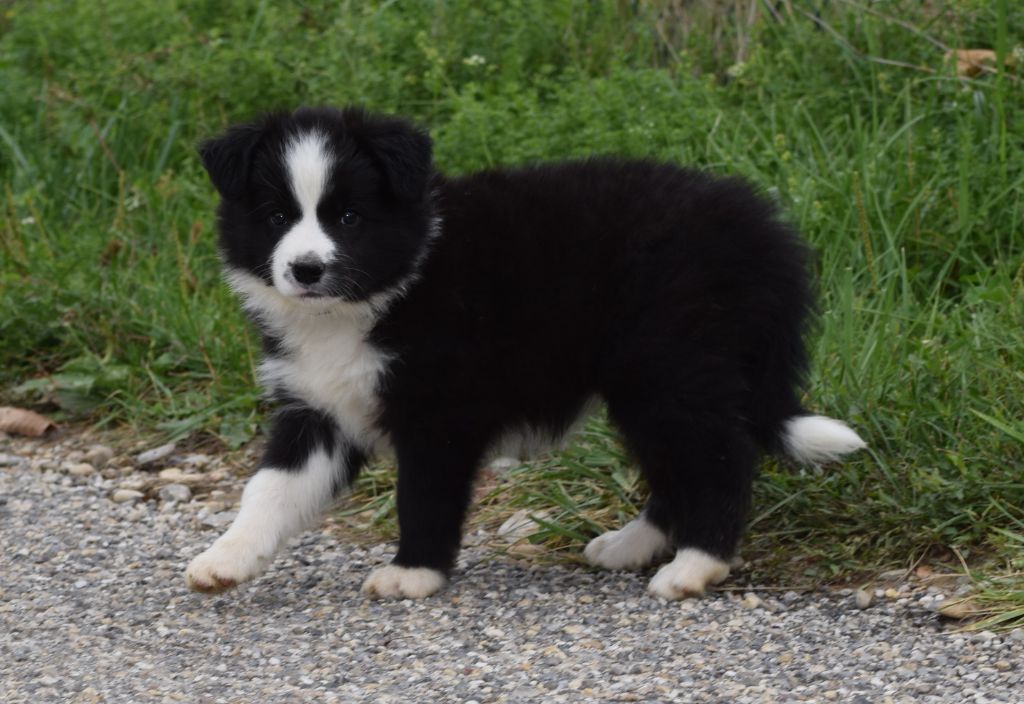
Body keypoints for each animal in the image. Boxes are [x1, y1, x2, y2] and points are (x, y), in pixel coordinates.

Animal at [186, 106, 866, 600]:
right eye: (276, 217)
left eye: (349, 217)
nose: (305, 269)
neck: (370, 300)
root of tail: (765, 237)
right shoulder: (317, 405)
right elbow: (270, 488)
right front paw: (225, 558)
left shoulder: (440, 409)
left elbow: (423, 493)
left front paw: (413, 573)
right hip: (651, 379)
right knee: (680, 464)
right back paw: (629, 546)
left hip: (671, 363)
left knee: (718, 458)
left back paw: (694, 568)